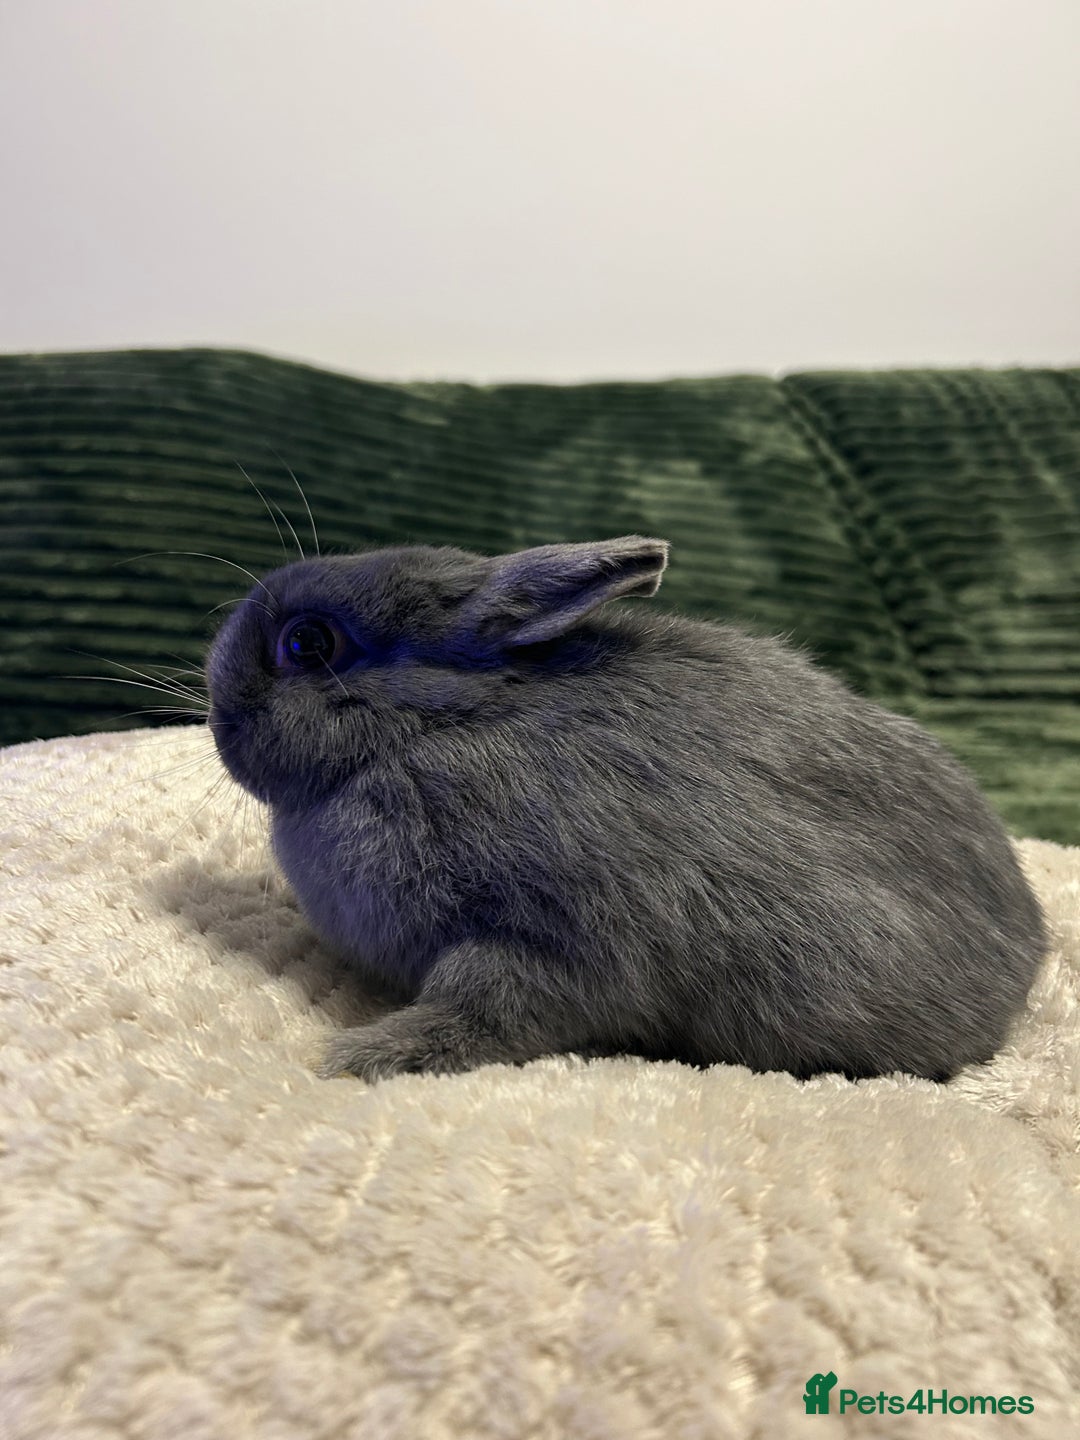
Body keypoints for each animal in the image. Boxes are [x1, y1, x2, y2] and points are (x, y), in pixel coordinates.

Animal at [204, 535, 1048, 1084]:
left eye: (307, 646)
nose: (217, 716)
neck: (437, 723)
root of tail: (1027, 965)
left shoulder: (546, 942)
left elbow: (486, 1009)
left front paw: (359, 1059)